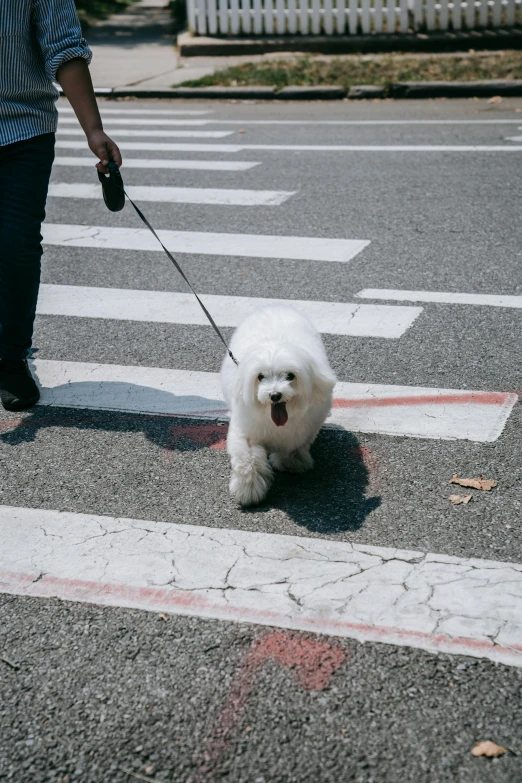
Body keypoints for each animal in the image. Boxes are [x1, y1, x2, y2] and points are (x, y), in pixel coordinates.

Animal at [218, 306, 334, 508]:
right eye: (260, 377)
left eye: (290, 376)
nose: (274, 395)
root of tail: (275, 307)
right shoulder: (247, 430)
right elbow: (247, 458)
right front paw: (248, 489)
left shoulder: (306, 428)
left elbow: (294, 446)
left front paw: (292, 462)